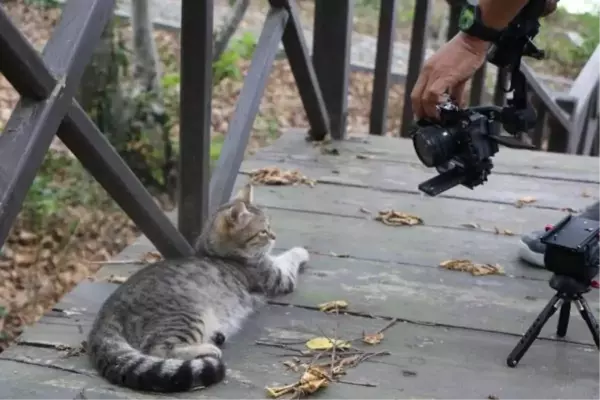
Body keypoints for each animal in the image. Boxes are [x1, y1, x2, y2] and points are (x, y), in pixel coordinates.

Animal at [86, 184, 310, 390]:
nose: (274, 236)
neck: (216, 252)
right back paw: (210, 349)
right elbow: (289, 258)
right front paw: (301, 251)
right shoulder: (277, 277)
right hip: (188, 315)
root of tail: (106, 313)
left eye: (269, 227)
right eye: (263, 231)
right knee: (158, 348)